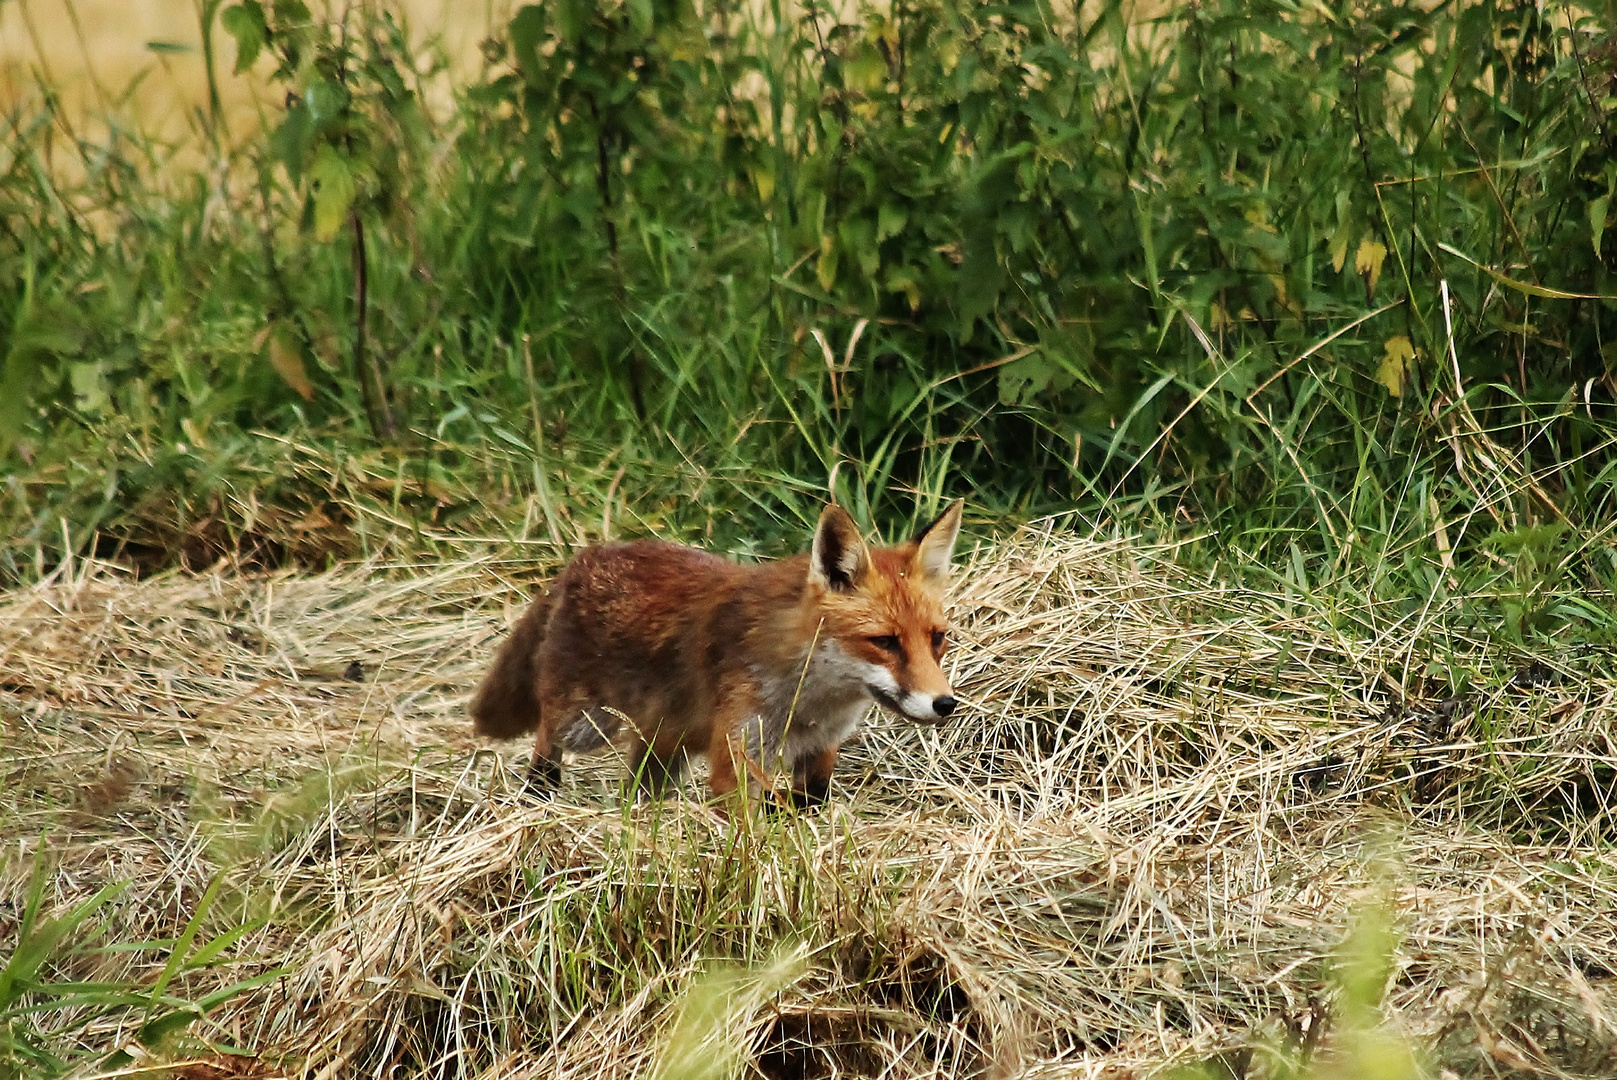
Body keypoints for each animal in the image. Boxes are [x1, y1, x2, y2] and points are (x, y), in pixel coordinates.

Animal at [472, 501, 963, 805]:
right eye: (885, 642)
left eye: (938, 638)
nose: (945, 704)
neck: (808, 702)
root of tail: (583, 557)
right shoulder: (736, 756)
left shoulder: (820, 756)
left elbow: (805, 808)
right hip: (585, 725)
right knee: (544, 741)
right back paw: (540, 795)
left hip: (663, 747)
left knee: (635, 791)